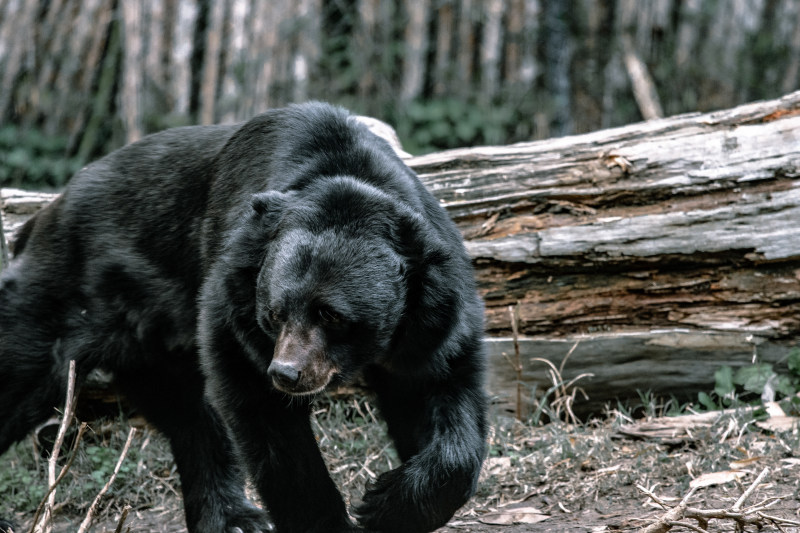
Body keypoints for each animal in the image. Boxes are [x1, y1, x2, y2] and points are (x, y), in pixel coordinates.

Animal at [0, 103, 488, 532]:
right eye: (274, 313)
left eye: (331, 315)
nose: (287, 373)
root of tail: (43, 215)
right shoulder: (234, 301)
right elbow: (265, 418)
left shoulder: (431, 317)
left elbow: (440, 393)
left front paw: (387, 503)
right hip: (64, 296)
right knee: (23, 371)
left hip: (152, 342)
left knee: (189, 416)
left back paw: (232, 517)